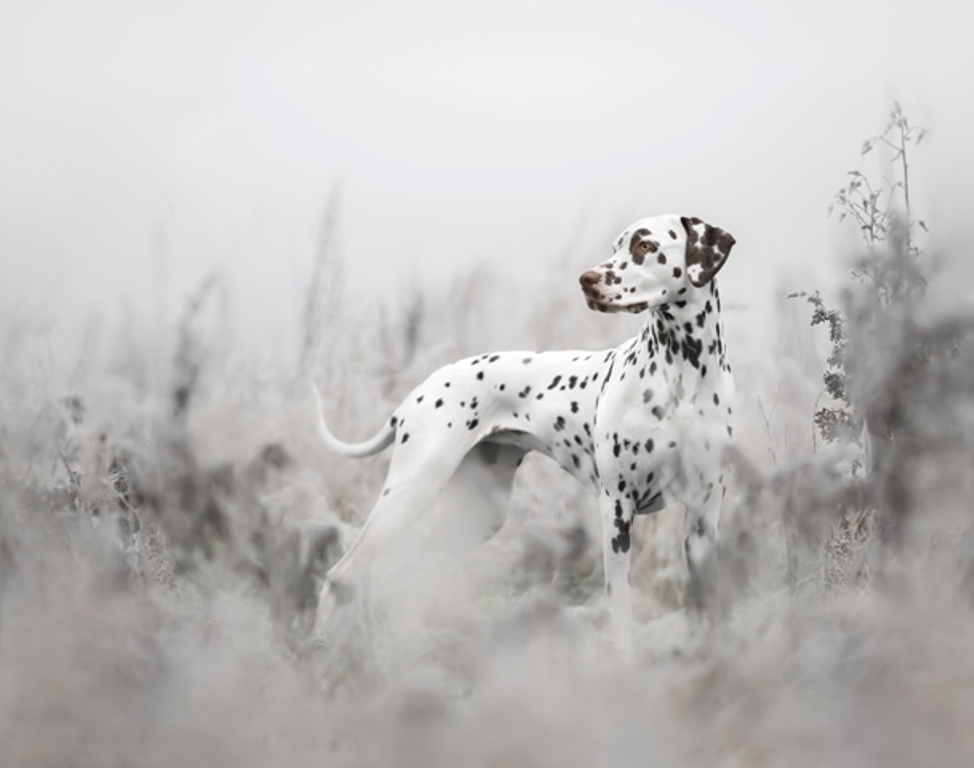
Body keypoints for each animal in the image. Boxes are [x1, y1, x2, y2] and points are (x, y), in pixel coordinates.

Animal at [314, 212, 740, 656]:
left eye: (645, 246)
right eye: (614, 247)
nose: (586, 280)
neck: (683, 376)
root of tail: (419, 390)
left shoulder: (703, 518)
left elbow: (708, 603)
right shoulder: (617, 510)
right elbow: (618, 604)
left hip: (479, 513)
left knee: (413, 574)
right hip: (410, 493)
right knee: (342, 573)